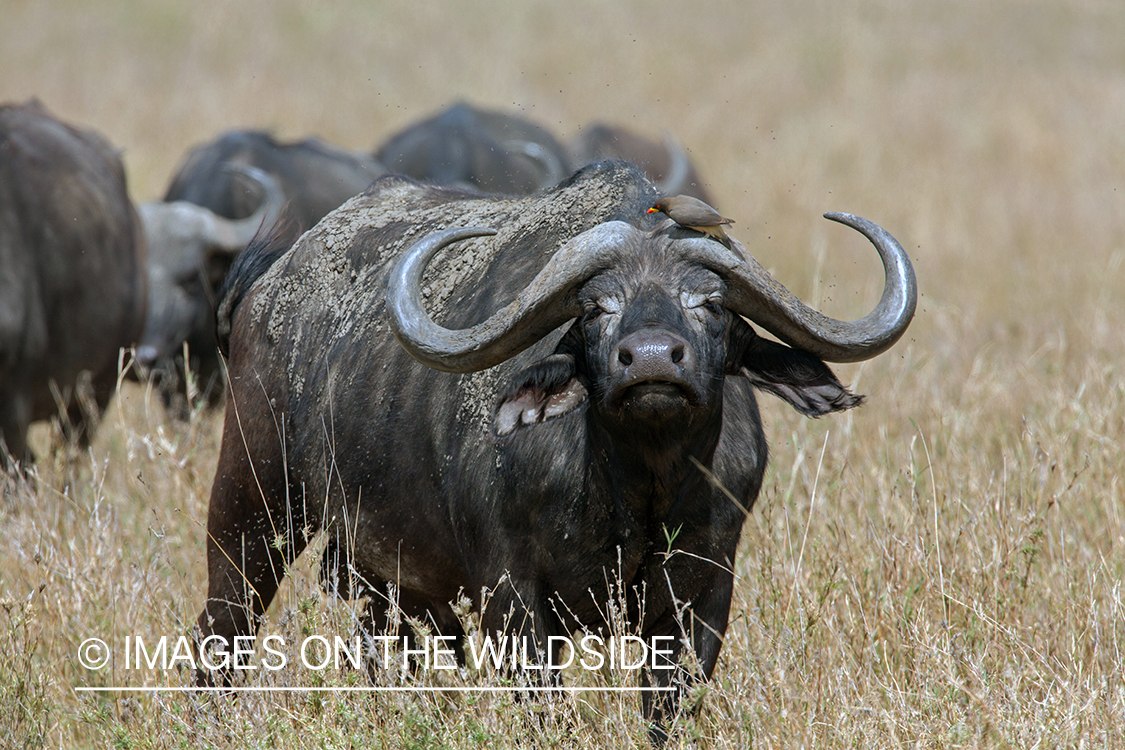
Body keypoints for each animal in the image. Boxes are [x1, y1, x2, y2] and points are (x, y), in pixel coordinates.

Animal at [193, 161, 913, 742]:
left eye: (709, 304)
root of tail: (265, 290)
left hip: (378, 571)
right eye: (596, 308)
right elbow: (545, 711)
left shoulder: (702, 597)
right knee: (221, 631)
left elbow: (669, 712)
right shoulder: (513, 599)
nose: (652, 360)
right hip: (252, 509)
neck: (635, 491)